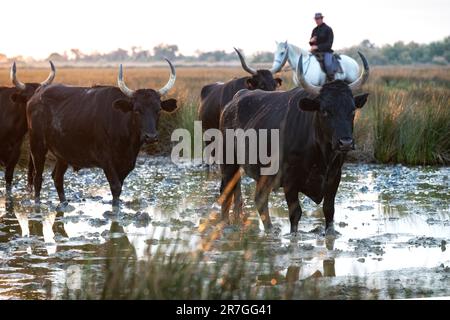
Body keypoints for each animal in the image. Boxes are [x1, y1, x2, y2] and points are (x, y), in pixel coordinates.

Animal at [26, 72, 179, 206]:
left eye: (158, 110)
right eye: (137, 110)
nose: (151, 137)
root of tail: (37, 93)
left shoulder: (126, 165)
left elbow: (119, 187)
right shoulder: (106, 161)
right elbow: (116, 187)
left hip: (63, 154)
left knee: (57, 178)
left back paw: (64, 203)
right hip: (37, 146)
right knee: (38, 177)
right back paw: (37, 203)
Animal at [218, 81, 370, 234]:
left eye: (352, 111)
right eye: (325, 111)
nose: (346, 142)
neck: (321, 156)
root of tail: (235, 100)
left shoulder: (335, 175)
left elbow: (329, 209)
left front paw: (331, 233)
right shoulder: (290, 179)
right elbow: (295, 213)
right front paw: (293, 235)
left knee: (256, 197)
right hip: (228, 162)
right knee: (227, 192)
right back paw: (226, 223)